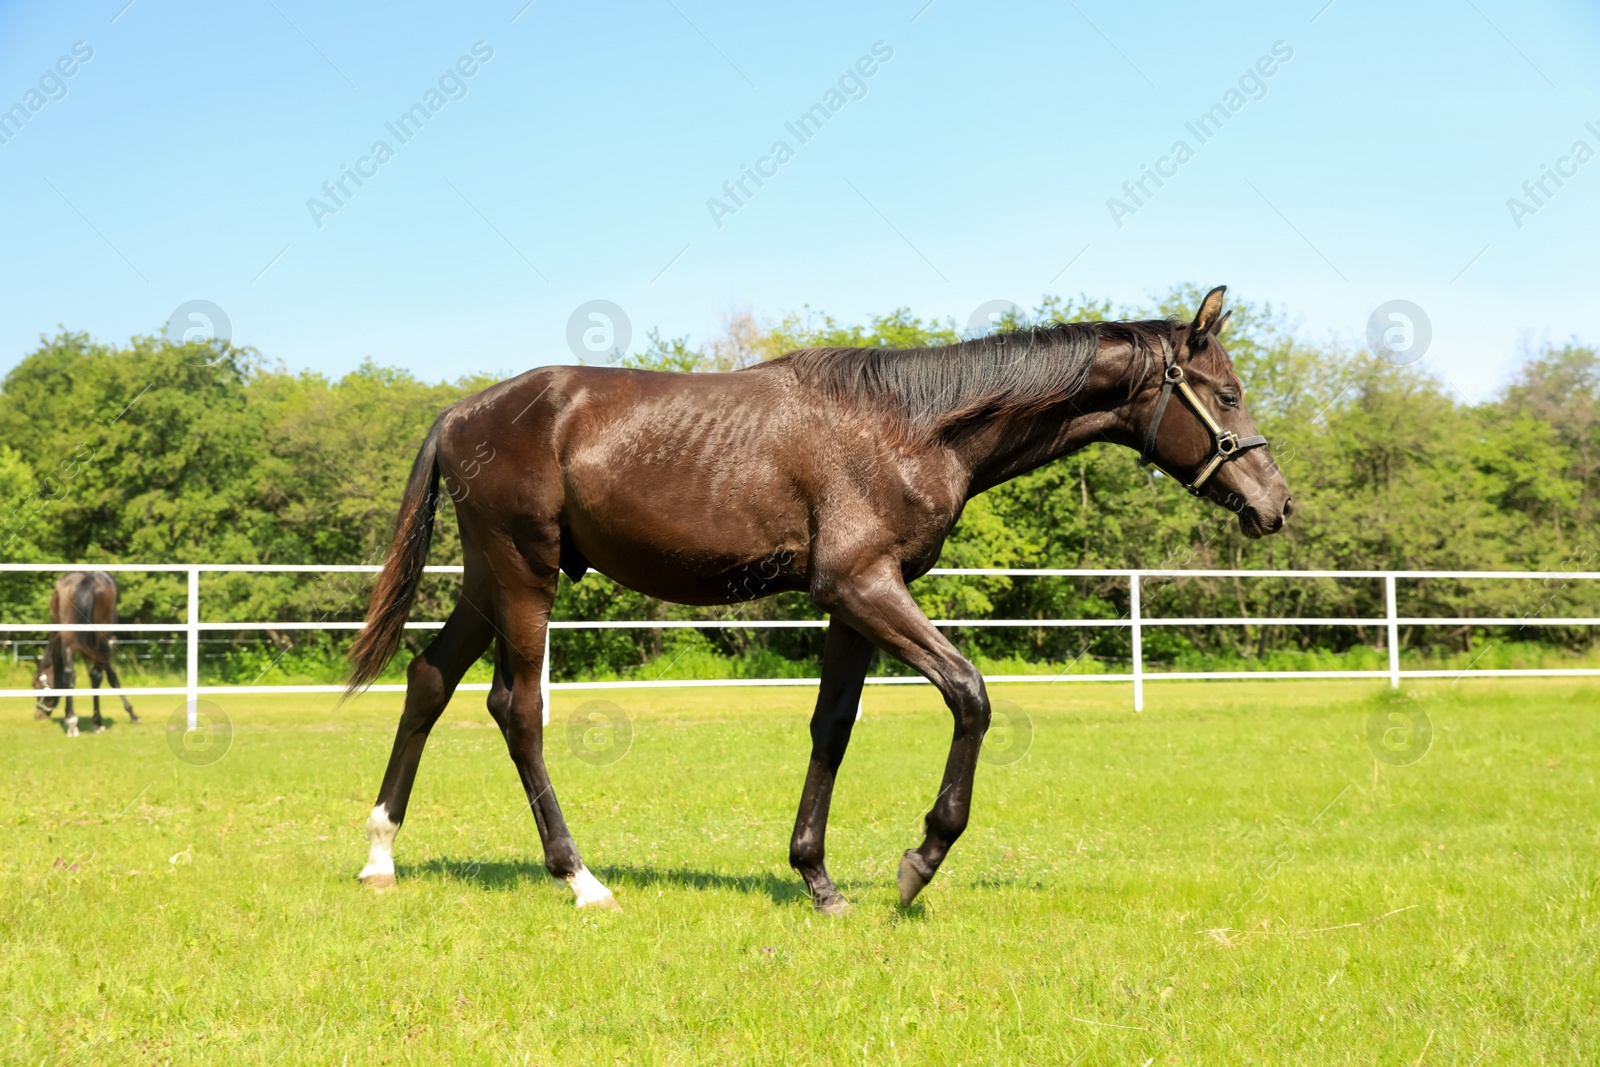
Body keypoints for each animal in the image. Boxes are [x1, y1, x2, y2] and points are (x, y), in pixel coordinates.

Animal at [33, 572, 137, 739]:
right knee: (93, 675)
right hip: (98, 640)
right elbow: (108, 678)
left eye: (35, 685)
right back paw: (94, 722)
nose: (38, 715)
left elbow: (111, 678)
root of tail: (89, 576)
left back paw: (74, 722)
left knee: (72, 675)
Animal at [347, 287, 1286, 915]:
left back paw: (381, 855)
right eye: (1227, 394)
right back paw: (580, 878)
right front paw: (920, 860)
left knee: (428, 682)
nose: (1276, 502)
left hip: (488, 580)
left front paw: (818, 876)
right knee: (518, 709)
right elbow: (970, 694)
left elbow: (832, 726)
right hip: (523, 577)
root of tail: (462, 410)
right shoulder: (863, 585)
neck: (911, 423)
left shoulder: (854, 603)